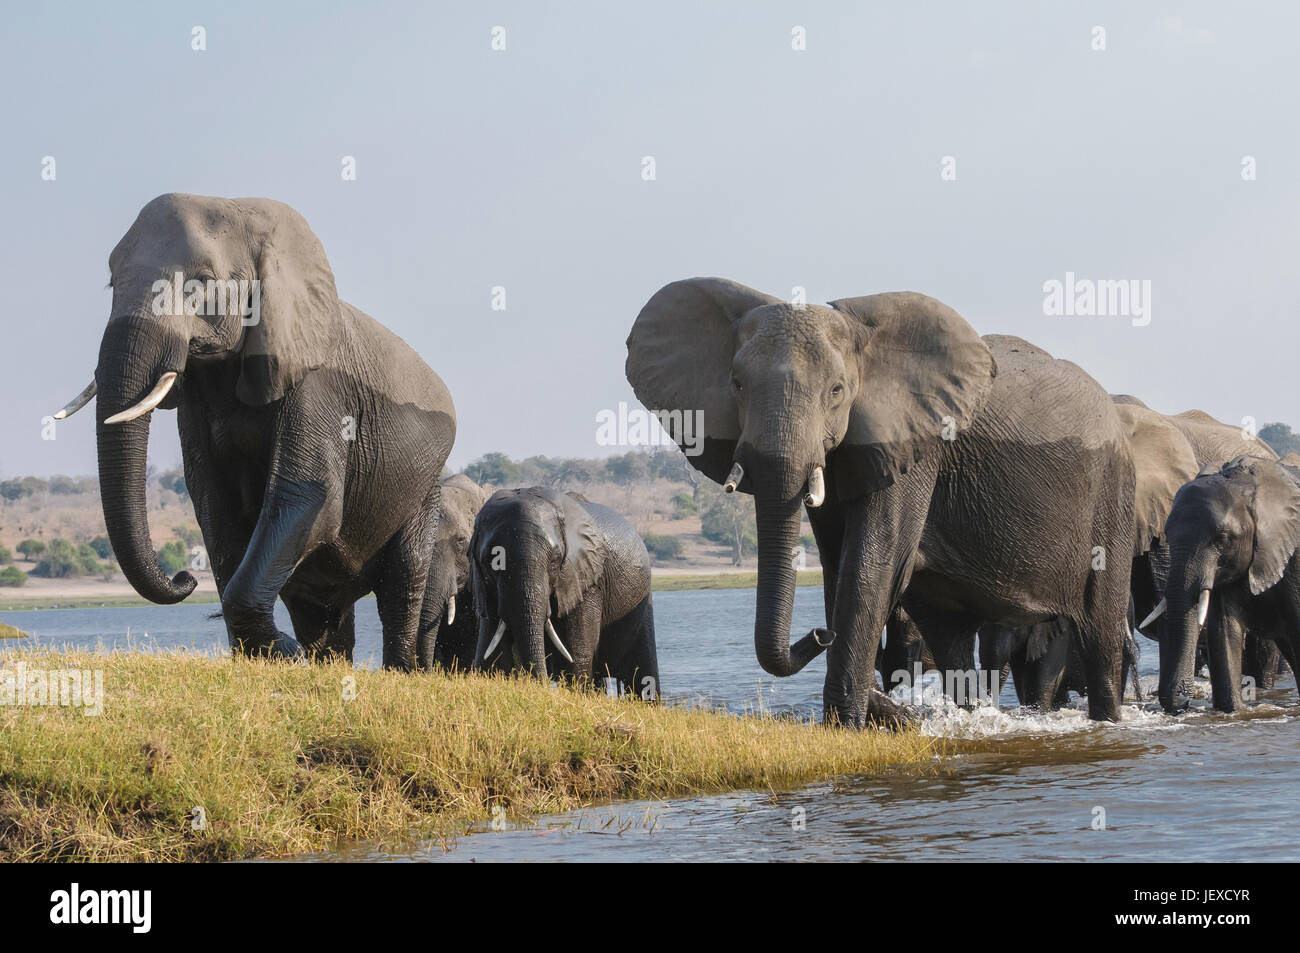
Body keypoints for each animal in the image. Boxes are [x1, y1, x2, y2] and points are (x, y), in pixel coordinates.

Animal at [53, 194, 456, 668]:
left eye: (200, 284)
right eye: (112, 283)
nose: (184, 577)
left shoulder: (317, 387)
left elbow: (308, 498)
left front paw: (285, 654)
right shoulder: (197, 400)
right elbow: (215, 505)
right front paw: (270, 655)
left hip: (425, 486)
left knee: (402, 581)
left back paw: (398, 669)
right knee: (321, 609)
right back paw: (325, 661)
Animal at [469, 487, 661, 698]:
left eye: (555, 559)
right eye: (489, 560)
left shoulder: (587, 580)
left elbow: (575, 658)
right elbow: (492, 658)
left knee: (645, 676)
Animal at [626, 278, 1136, 726]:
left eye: (836, 390)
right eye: (736, 384)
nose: (818, 633)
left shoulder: (917, 444)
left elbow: (871, 564)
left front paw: (847, 724)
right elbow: (836, 562)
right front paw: (861, 715)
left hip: (1114, 496)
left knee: (1101, 635)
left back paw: (1108, 722)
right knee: (952, 639)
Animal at [1158, 456, 1300, 712]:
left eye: (1223, 538)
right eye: (1167, 533)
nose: (1183, 701)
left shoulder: (1297, 556)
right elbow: (1224, 631)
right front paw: (1233, 711)